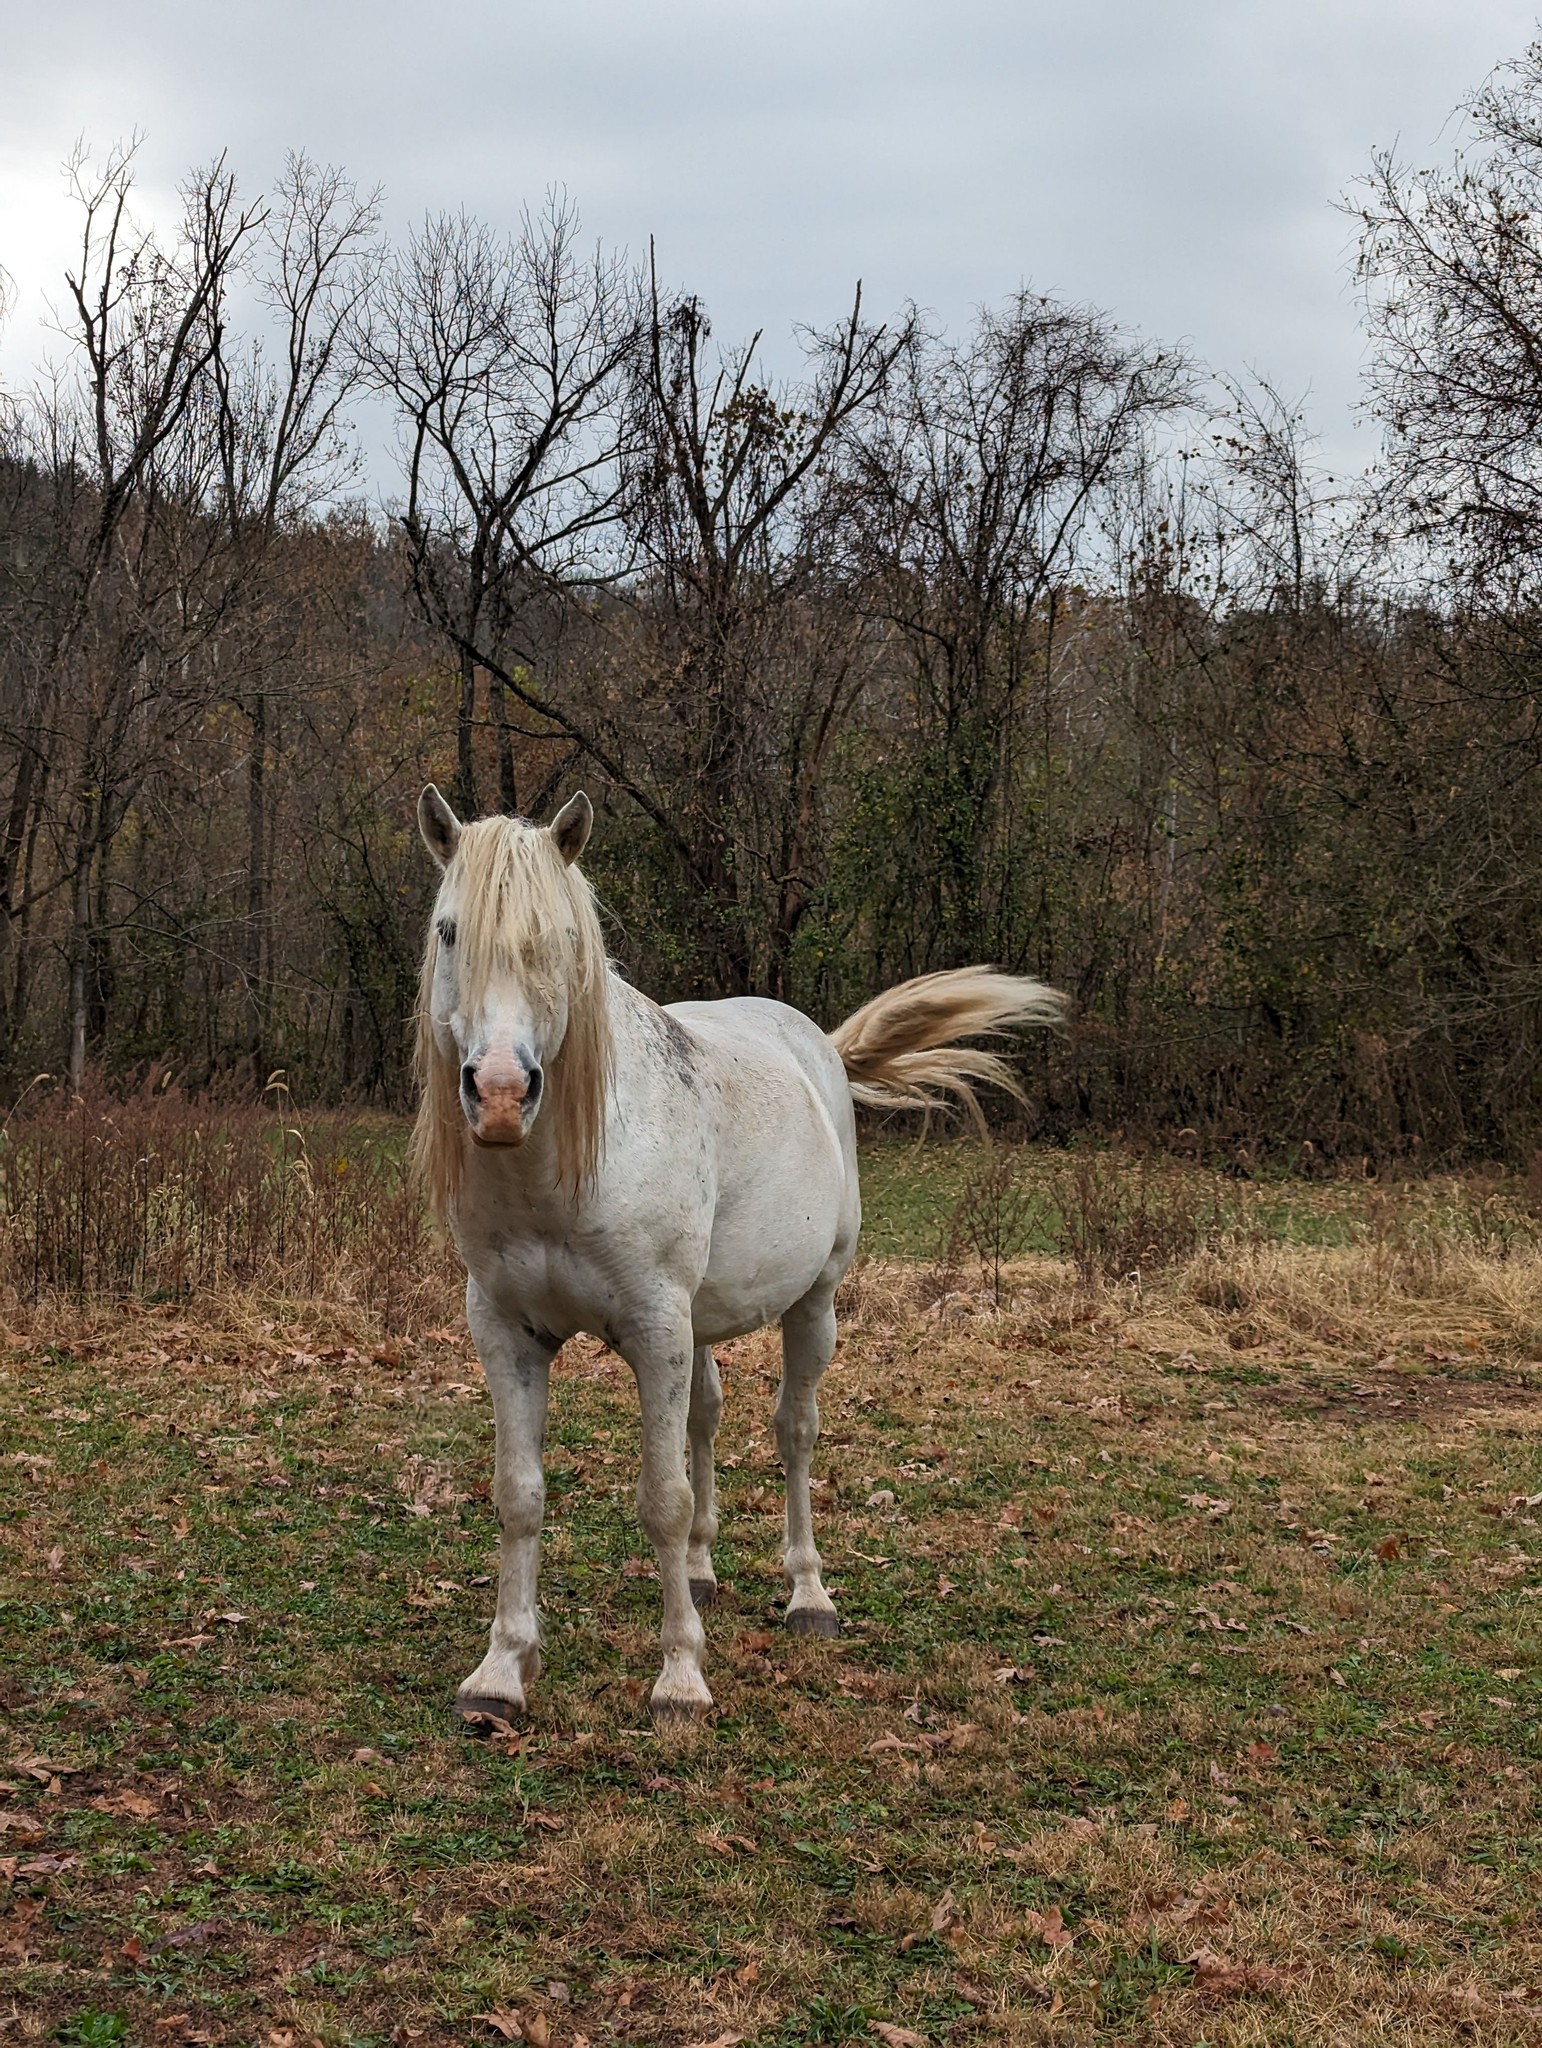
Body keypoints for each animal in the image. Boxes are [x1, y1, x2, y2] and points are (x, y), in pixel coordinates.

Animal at [412, 784, 1066, 1723]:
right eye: (448, 931)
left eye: (564, 939)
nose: (501, 1094)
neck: (560, 1172)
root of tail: (816, 1044)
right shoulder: (508, 1332)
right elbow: (521, 1496)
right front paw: (502, 1669)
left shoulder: (656, 1327)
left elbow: (662, 1498)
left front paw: (680, 1678)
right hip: (702, 1323)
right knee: (707, 1419)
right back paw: (700, 1572)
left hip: (814, 1303)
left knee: (795, 1432)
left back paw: (808, 1595)